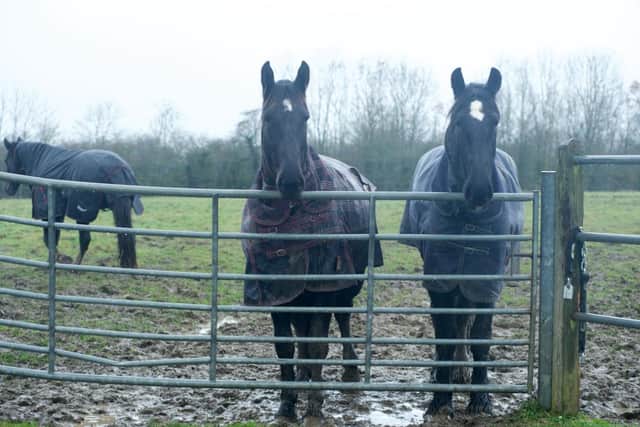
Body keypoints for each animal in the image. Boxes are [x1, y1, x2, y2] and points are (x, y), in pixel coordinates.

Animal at [3, 138, 143, 268]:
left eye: (6, 160)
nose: (8, 190)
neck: (41, 160)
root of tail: (120, 168)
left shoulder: (47, 212)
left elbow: (49, 239)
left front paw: (61, 258)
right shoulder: (57, 212)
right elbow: (54, 237)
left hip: (82, 214)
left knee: (85, 240)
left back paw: (75, 265)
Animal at [241, 61, 383, 422]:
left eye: (304, 117)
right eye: (268, 118)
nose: (292, 181)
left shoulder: (321, 289)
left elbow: (318, 345)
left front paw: (314, 406)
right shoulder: (277, 291)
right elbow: (286, 347)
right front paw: (287, 404)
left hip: (346, 282)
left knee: (342, 317)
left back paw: (349, 371)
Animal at [399, 67, 524, 416]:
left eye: (495, 121)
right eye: (457, 123)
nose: (480, 191)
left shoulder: (485, 278)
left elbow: (480, 333)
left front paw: (480, 398)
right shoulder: (440, 276)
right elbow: (444, 331)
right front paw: (441, 398)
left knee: (464, 321)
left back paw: (462, 369)